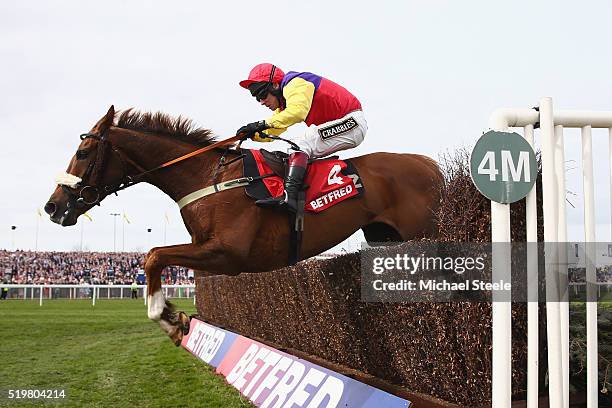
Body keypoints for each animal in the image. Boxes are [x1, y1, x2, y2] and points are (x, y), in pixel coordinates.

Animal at [45, 106, 442, 344]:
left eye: (83, 153)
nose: (53, 206)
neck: (206, 177)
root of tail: (430, 164)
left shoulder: (227, 253)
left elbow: (154, 255)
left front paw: (167, 318)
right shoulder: (208, 253)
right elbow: (162, 260)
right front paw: (177, 315)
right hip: (385, 239)